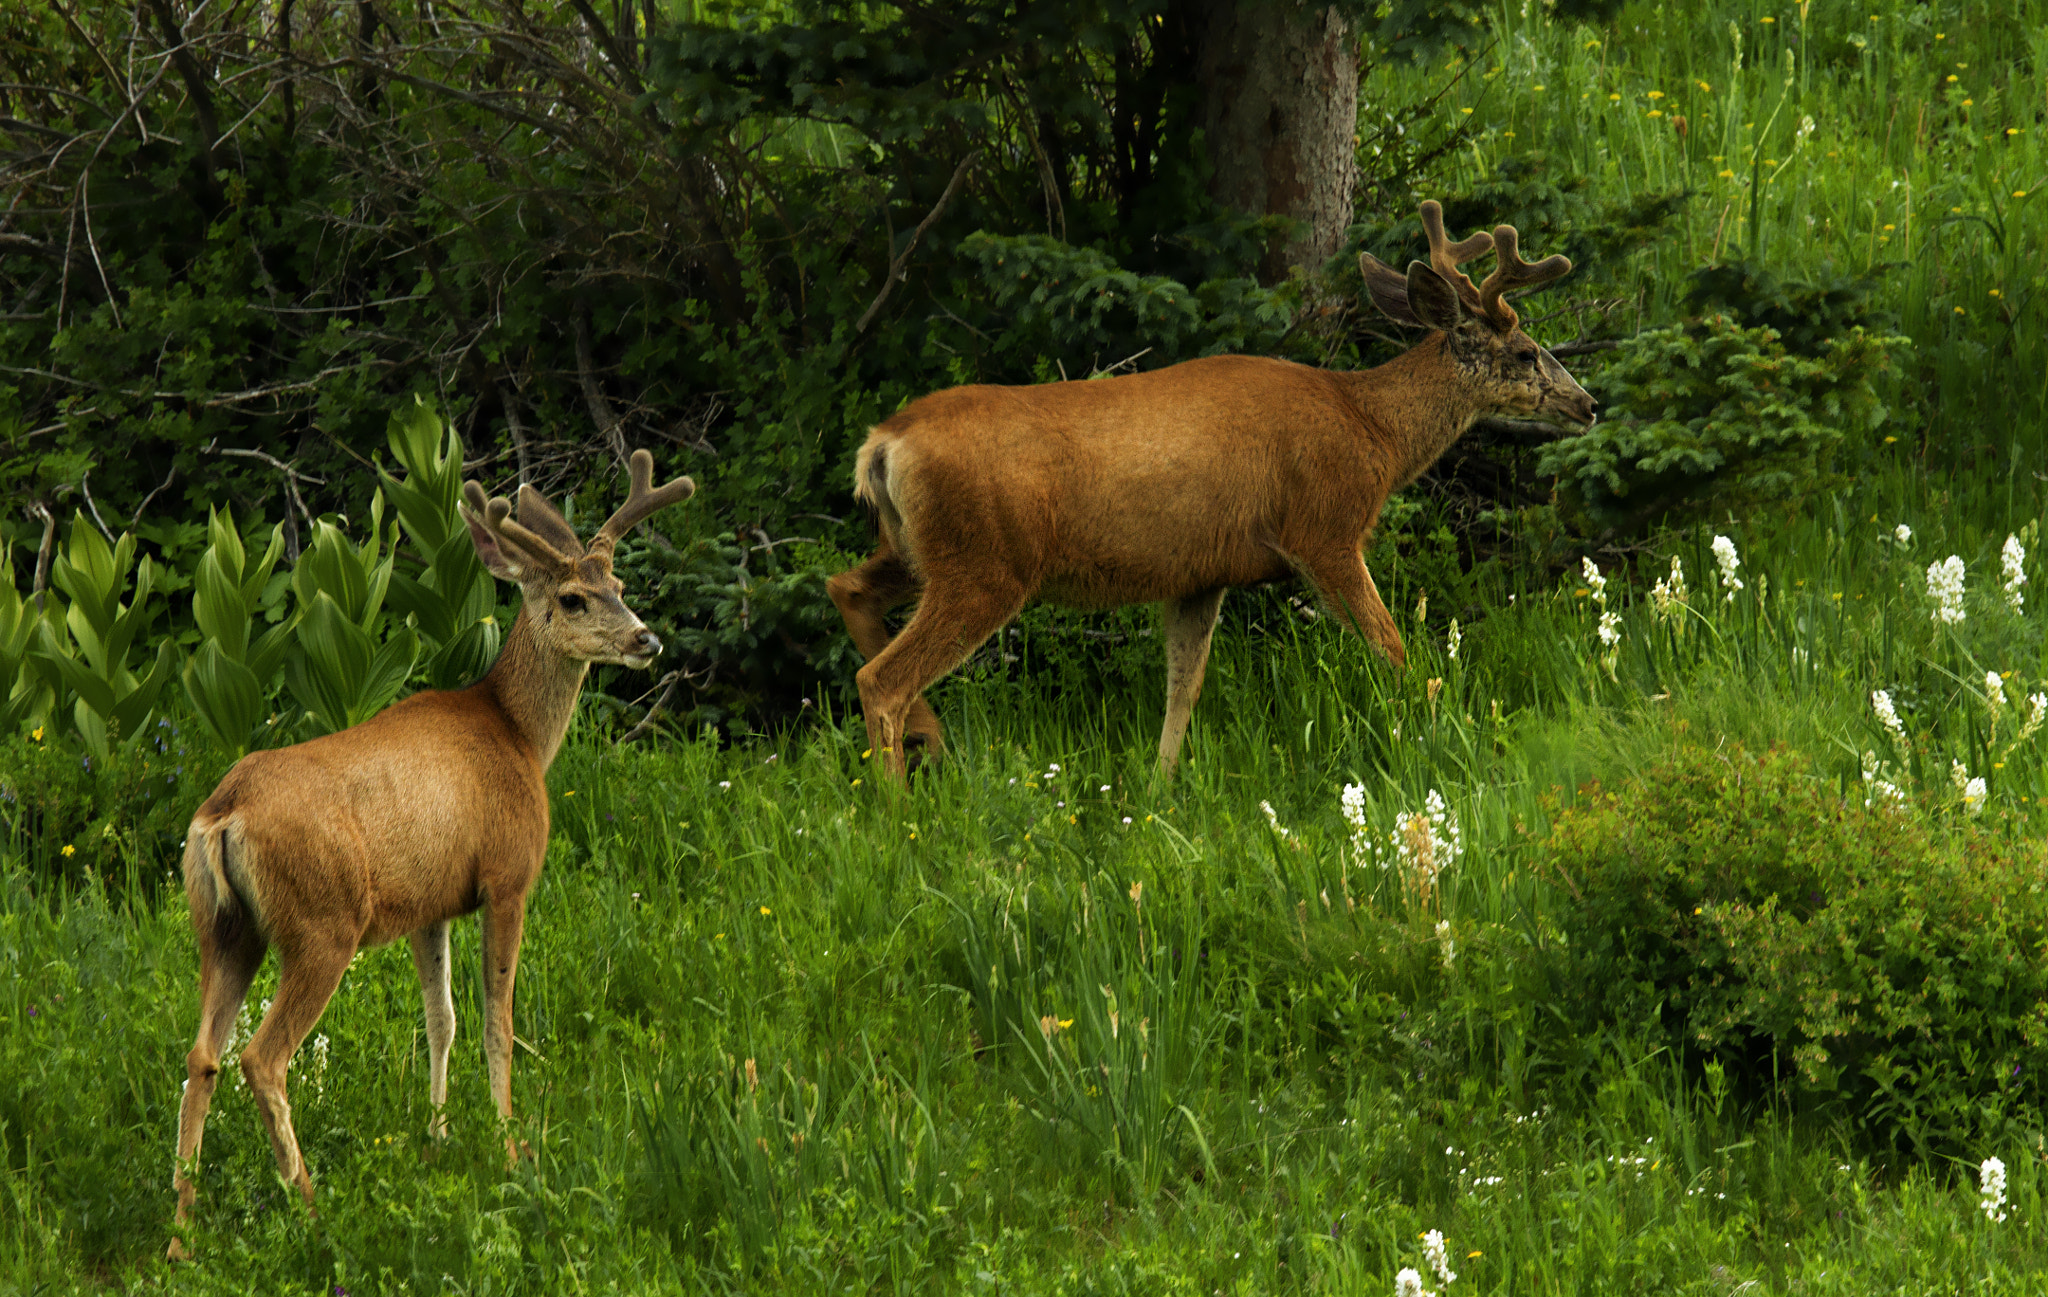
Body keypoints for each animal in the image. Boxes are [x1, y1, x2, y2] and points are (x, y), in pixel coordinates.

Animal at [169, 450, 696, 1262]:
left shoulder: (431, 902)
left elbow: (440, 1017)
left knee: (201, 1056)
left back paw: (182, 1232)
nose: (646, 640)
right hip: (322, 922)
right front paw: (510, 1147)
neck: (517, 732)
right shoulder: (508, 876)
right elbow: (496, 1016)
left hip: (224, 926)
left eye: (620, 586)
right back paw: (310, 1207)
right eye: (574, 598)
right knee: (263, 1055)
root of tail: (222, 815)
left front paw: (439, 1135)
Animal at [823, 197, 1589, 774]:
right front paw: (1427, 729)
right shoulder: (1324, 527)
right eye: (1526, 352)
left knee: (846, 588)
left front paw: (1159, 791)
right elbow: (1392, 647)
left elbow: (1181, 691)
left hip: (922, 550)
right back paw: (900, 807)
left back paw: (931, 741)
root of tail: (882, 444)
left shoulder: (1201, 573)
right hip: (984, 563)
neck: (1372, 428)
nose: (1587, 403)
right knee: (880, 680)